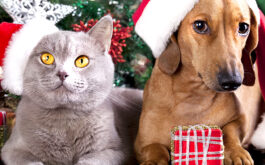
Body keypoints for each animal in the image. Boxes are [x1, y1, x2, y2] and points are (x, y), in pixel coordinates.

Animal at [1, 15, 142, 165]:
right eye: (46, 58)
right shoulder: (11, 149)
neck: (65, 119)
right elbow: (30, 161)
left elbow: (90, 160)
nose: (62, 73)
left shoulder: (114, 150)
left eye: (82, 61)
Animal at [135, 0, 262, 165]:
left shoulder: (240, 119)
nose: (233, 81)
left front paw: (236, 152)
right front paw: (155, 160)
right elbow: (154, 147)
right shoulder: (142, 143)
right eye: (200, 25)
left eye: (243, 27)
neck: (194, 96)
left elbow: (229, 131)